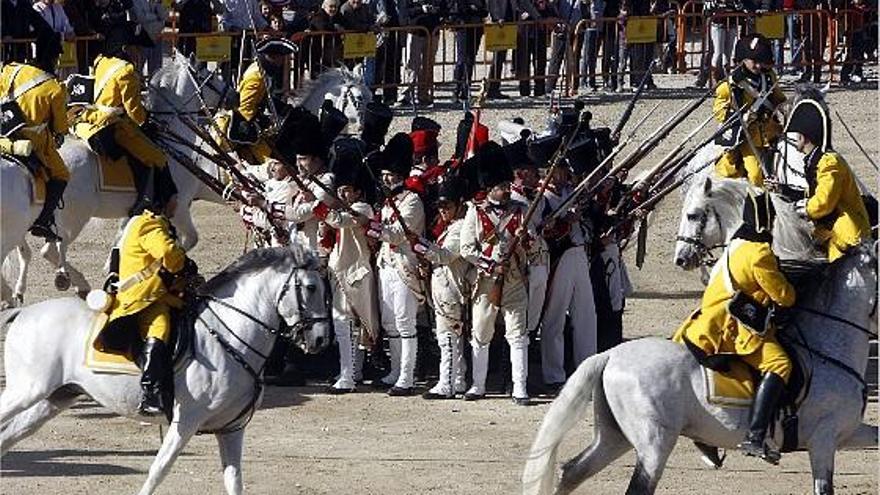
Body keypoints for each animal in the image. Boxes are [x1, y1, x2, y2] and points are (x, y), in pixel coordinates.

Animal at [0, 54, 230, 306]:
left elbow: (122, 239)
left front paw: (115, 269)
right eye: (210, 77)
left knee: (29, 250)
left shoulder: (137, 211)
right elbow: (187, 241)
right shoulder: (178, 207)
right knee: (50, 251)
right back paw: (75, 284)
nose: (233, 95)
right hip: (73, 219)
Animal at [0, 245, 330, 495]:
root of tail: (24, 312)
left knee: (7, 438)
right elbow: (158, 470)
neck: (230, 333)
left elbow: (234, 480)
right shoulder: (186, 421)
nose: (321, 339)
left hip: (53, 399)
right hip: (26, 391)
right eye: (311, 287)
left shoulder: (232, 429)